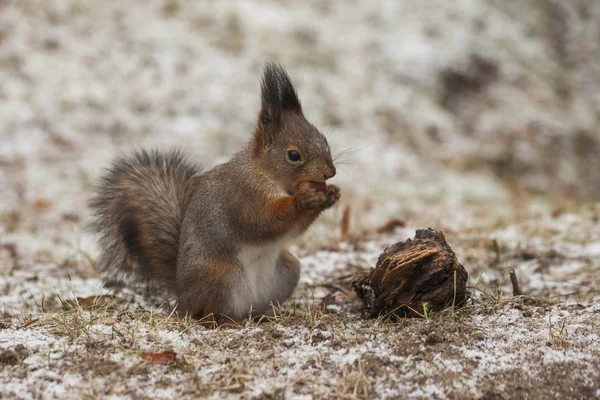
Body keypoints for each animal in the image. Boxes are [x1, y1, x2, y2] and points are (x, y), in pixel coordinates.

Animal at [91, 63, 340, 322]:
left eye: (324, 140)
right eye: (293, 155)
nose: (329, 172)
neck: (266, 175)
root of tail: (183, 297)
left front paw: (331, 194)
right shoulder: (242, 196)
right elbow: (261, 222)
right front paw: (304, 199)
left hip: (288, 270)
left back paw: (265, 314)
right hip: (220, 274)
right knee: (207, 313)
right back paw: (227, 322)